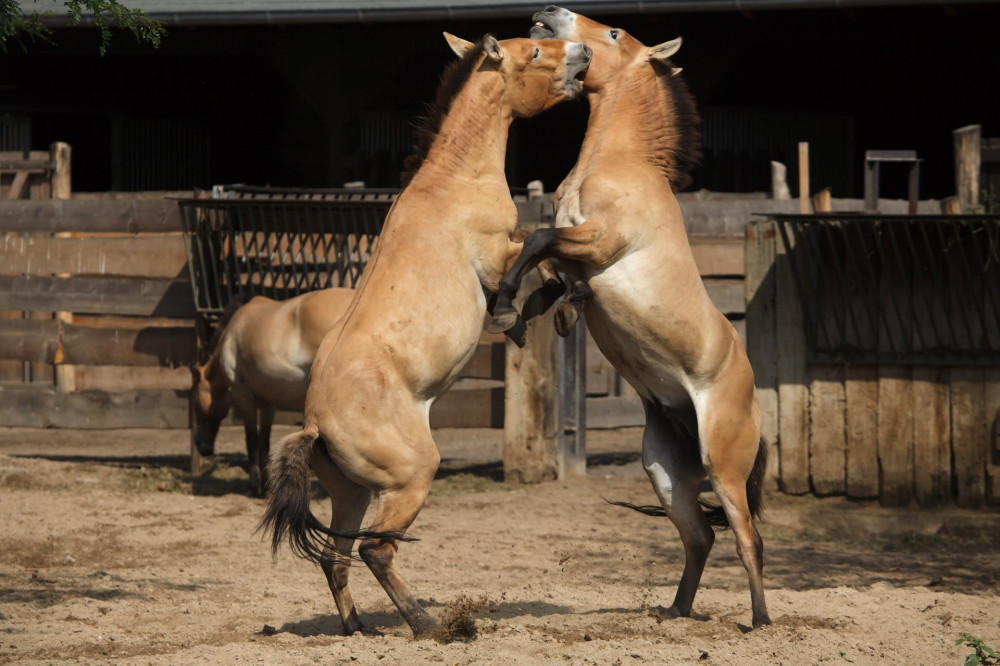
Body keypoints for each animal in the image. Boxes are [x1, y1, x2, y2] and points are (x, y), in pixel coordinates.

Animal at [190, 288, 356, 496]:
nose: (202, 446)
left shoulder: (242, 396)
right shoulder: (268, 403)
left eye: (196, 404)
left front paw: (254, 486)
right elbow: (264, 441)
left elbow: (251, 441)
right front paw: (265, 485)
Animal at [260, 33, 592, 636]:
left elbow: (546, 259)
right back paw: (430, 626)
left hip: (353, 494)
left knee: (336, 557)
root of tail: (315, 425)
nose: (583, 53)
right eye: (535, 52)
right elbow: (542, 256)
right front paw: (525, 314)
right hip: (411, 478)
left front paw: (535, 314)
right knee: (376, 550)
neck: (452, 182)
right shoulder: (497, 253)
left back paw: (358, 630)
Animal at [492, 6, 772, 628]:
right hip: (664, 472)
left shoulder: (598, 242)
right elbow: (545, 266)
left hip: (725, 468)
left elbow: (538, 238)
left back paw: (761, 622)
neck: (617, 165)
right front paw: (530, 315)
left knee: (747, 540)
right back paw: (675, 612)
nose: (548, 12)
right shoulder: (574, 254)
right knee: (700, 539)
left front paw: (503, 305)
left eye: (614, 33)